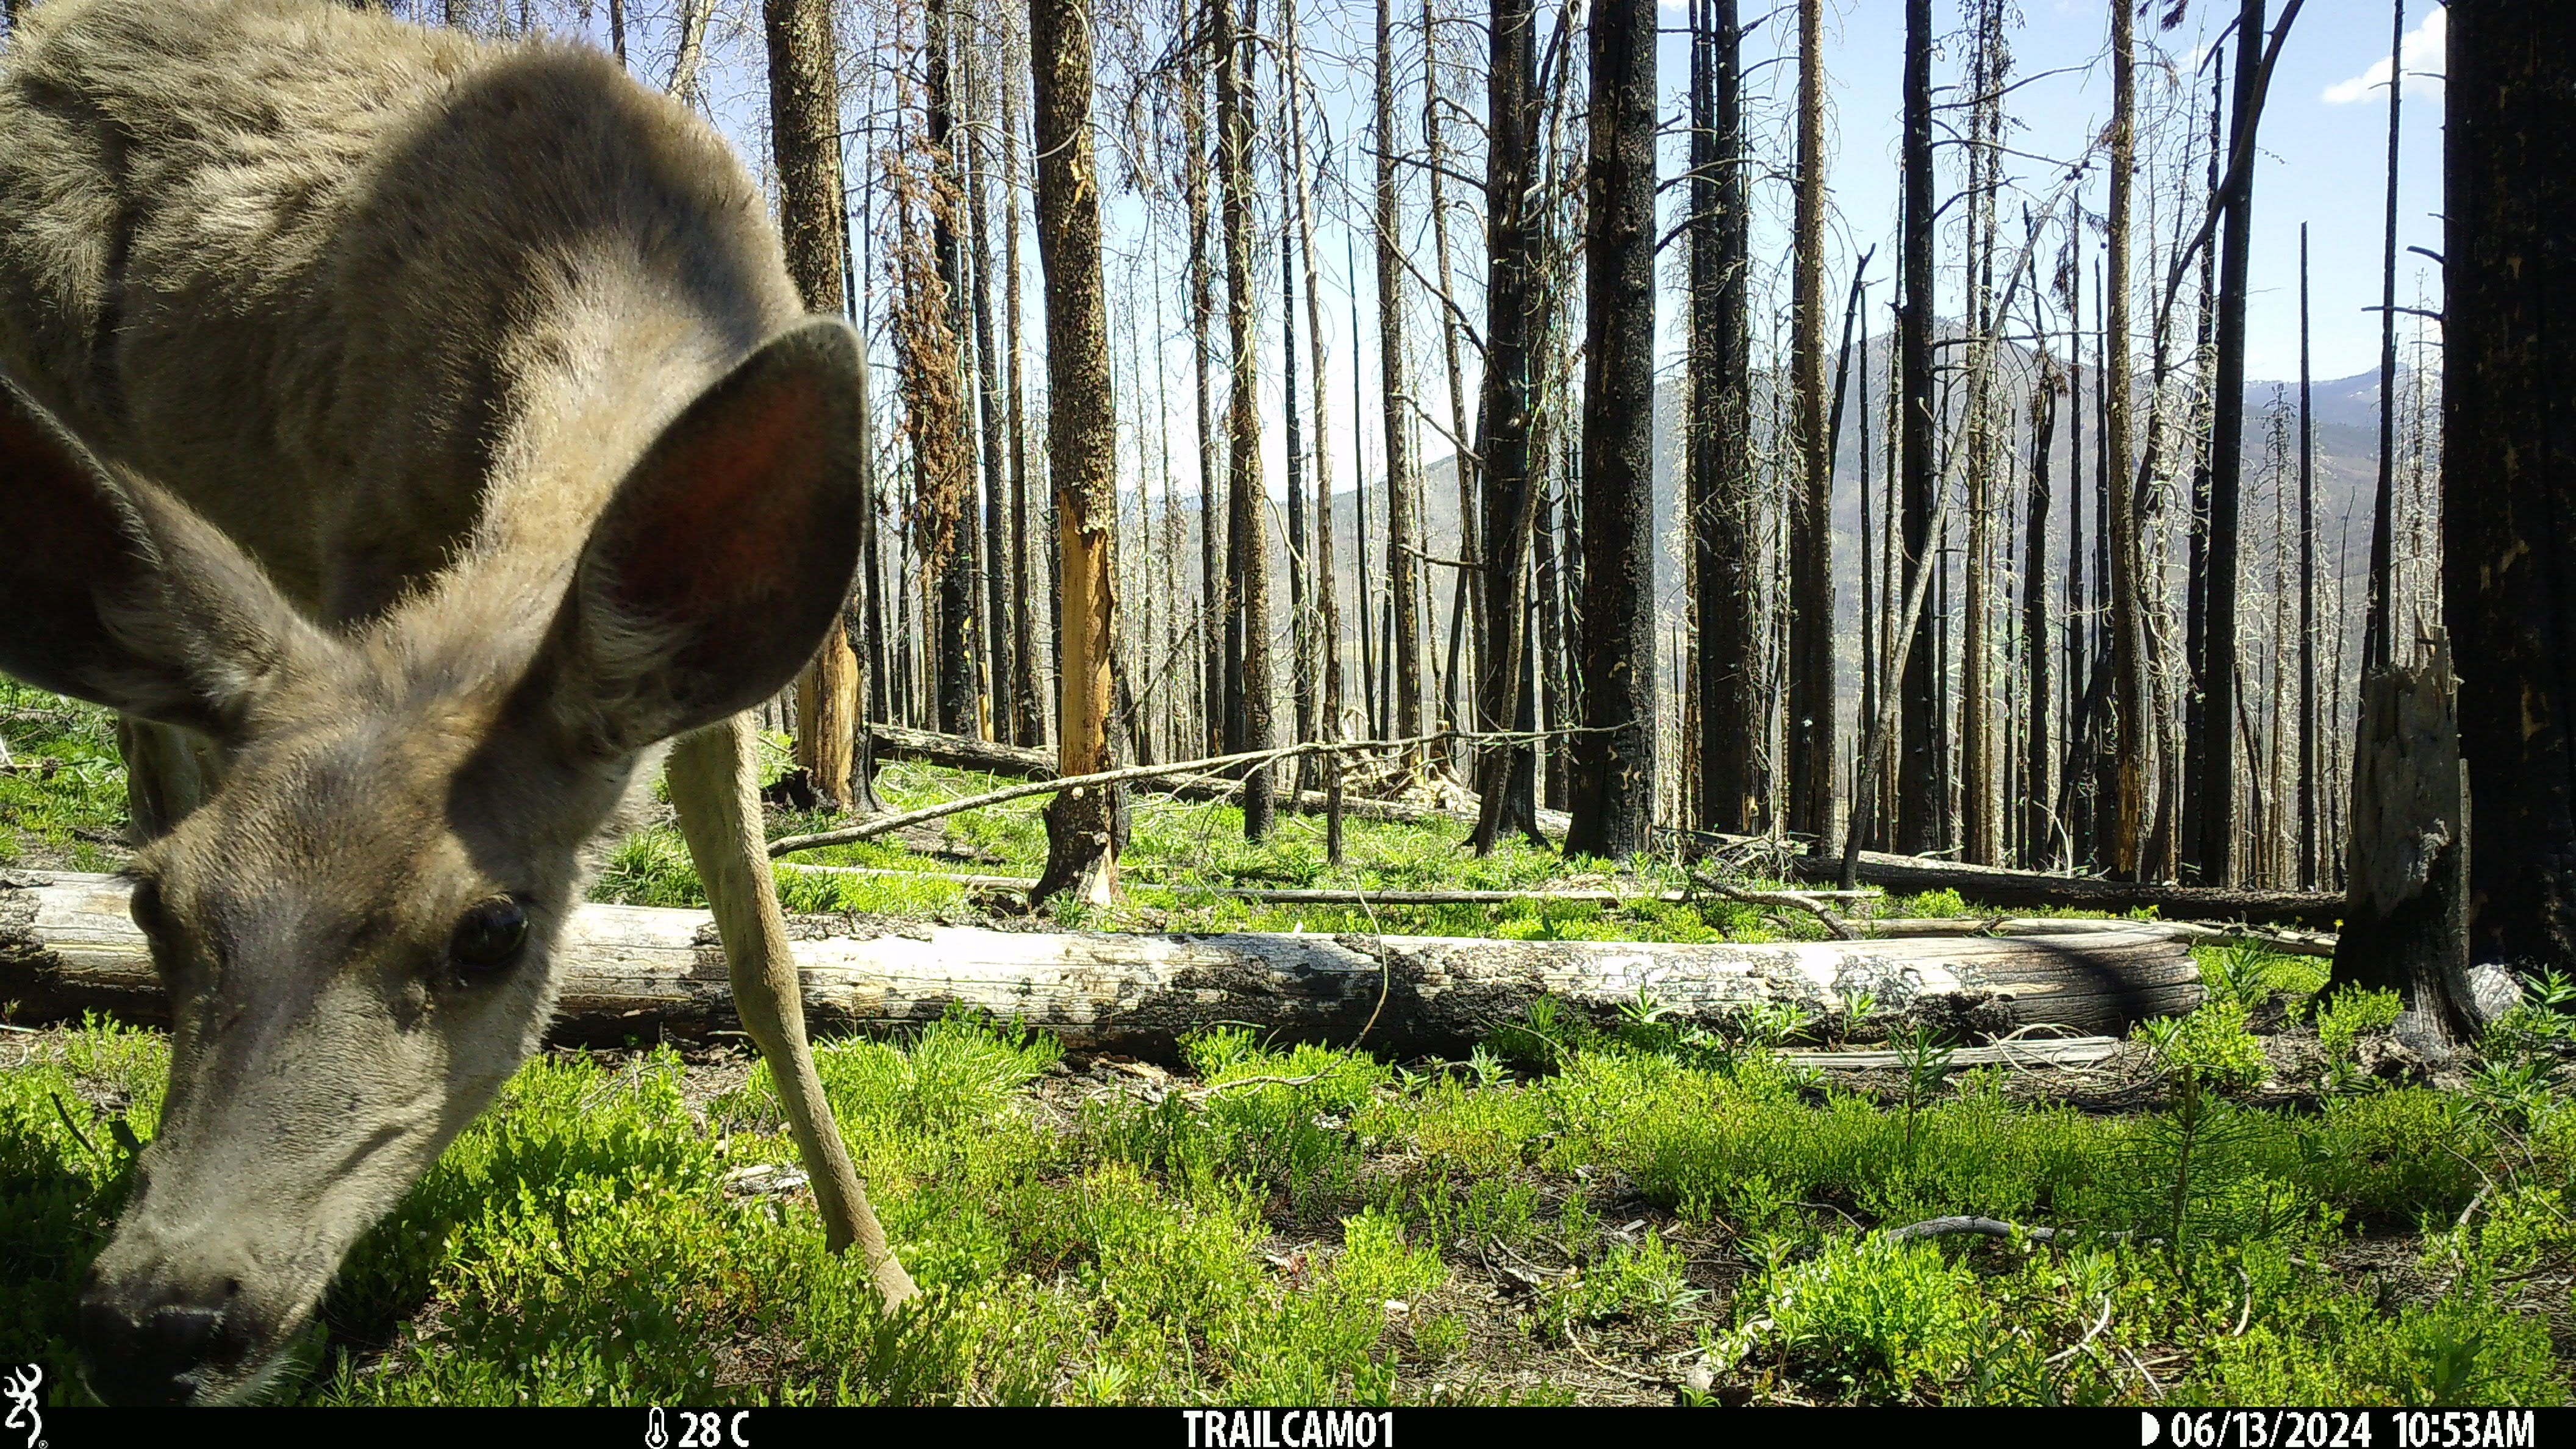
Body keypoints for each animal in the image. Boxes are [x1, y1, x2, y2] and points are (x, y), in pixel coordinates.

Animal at [0, 0, 916, 1405]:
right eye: (156, 907)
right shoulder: (360, 533)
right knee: (152, 756)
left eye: (490, 932)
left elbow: (767, 962)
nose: (154, 1322)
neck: (628, 250)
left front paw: (879, 1273)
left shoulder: (709, 698)